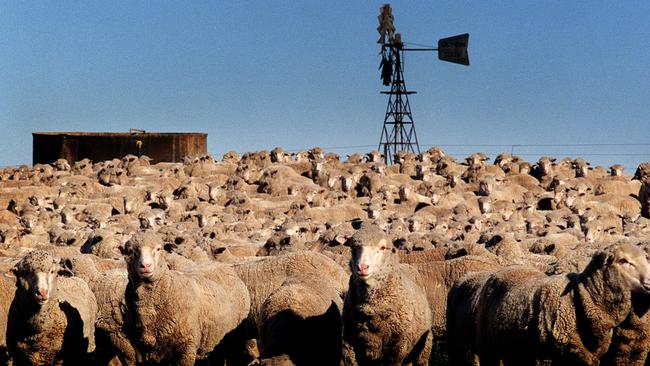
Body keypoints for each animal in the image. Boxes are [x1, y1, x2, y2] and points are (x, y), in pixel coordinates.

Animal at [340, 226, 430, 366]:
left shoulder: (398, 347)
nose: (362, 267)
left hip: (423, 349)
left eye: (383, 248)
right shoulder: (348, 344)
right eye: (353, 247)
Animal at [474, 242, 648, 364]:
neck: (579, 296)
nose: (649, 282)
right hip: (487, 348)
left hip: (514, 349)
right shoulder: (551, 355)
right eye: (624, 260)